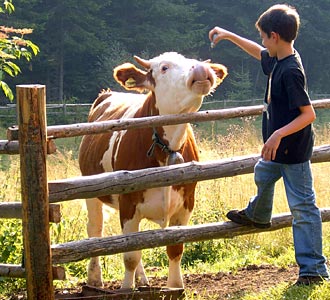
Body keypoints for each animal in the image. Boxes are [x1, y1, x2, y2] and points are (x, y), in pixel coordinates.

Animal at [79, 51, 227, 288]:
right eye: (164, 68)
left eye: (194, 62)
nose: (201, 70)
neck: (167, 148)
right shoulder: (128, 202)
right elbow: (130, 254)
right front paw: (126, 289)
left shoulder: (186, 203)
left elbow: (174, 249)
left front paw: (175, 287)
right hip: (91, 190)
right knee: (95, 231)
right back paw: (95, 279)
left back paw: (142, 279)